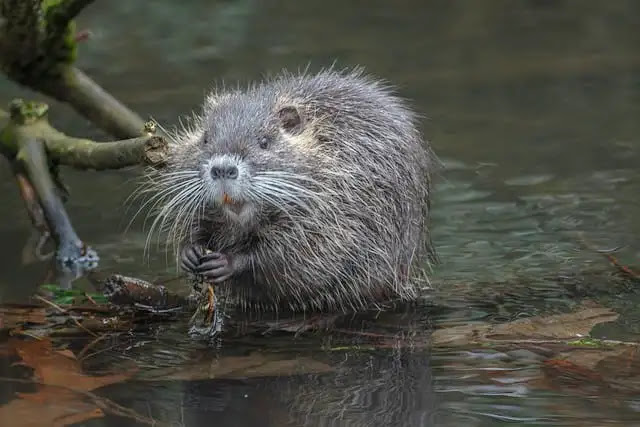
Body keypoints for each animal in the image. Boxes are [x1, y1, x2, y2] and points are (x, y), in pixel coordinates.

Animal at [142, 67, 438, 314]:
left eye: (264, 142)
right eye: (205, 138)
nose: (223, 169)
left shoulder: (339, 208)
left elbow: (295, 253)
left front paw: (226, 261)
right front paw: (190, 252)